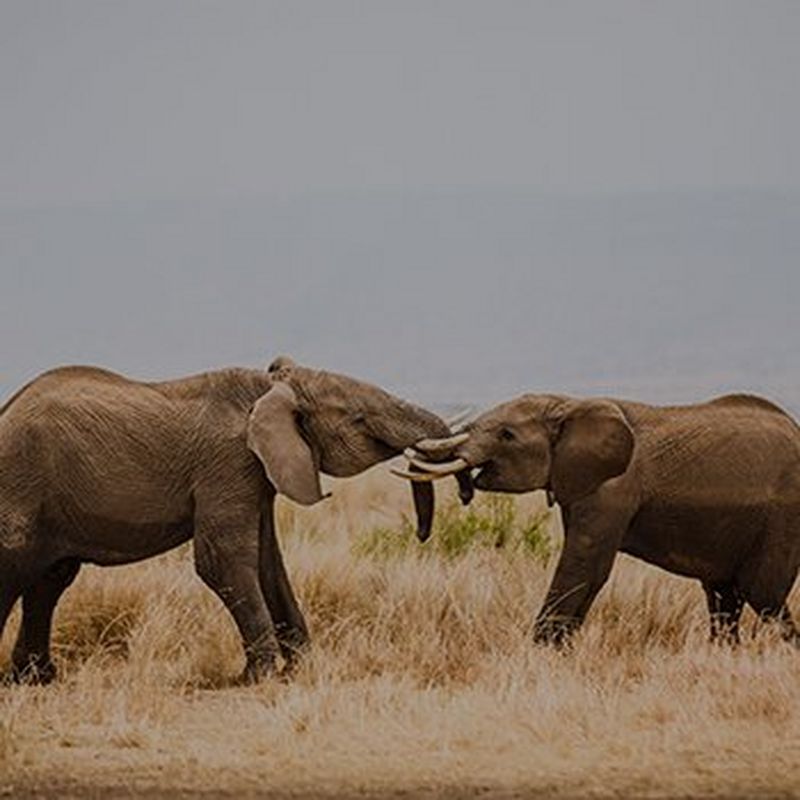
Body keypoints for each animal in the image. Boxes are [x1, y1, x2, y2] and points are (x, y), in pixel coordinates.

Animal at [0, 356, 455, 684]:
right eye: (358, 418)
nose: (421, 533)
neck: (268, 386)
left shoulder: (257, 473)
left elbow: (269, 563)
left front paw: (300, 669)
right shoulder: (228, 463)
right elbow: (221, 560)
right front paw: (260, 676)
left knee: (50, 580)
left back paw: (37, 679)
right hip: (20, 486)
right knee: (19, 571)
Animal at [395, 392, 800, 646]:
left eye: (506, 435)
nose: (465, 493)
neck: (569, 405)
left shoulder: (614, 488)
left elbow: (584, 562)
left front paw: (539, 652)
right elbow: (588, 568)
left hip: (783, 518)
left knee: (764, 595)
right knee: (723, 596)